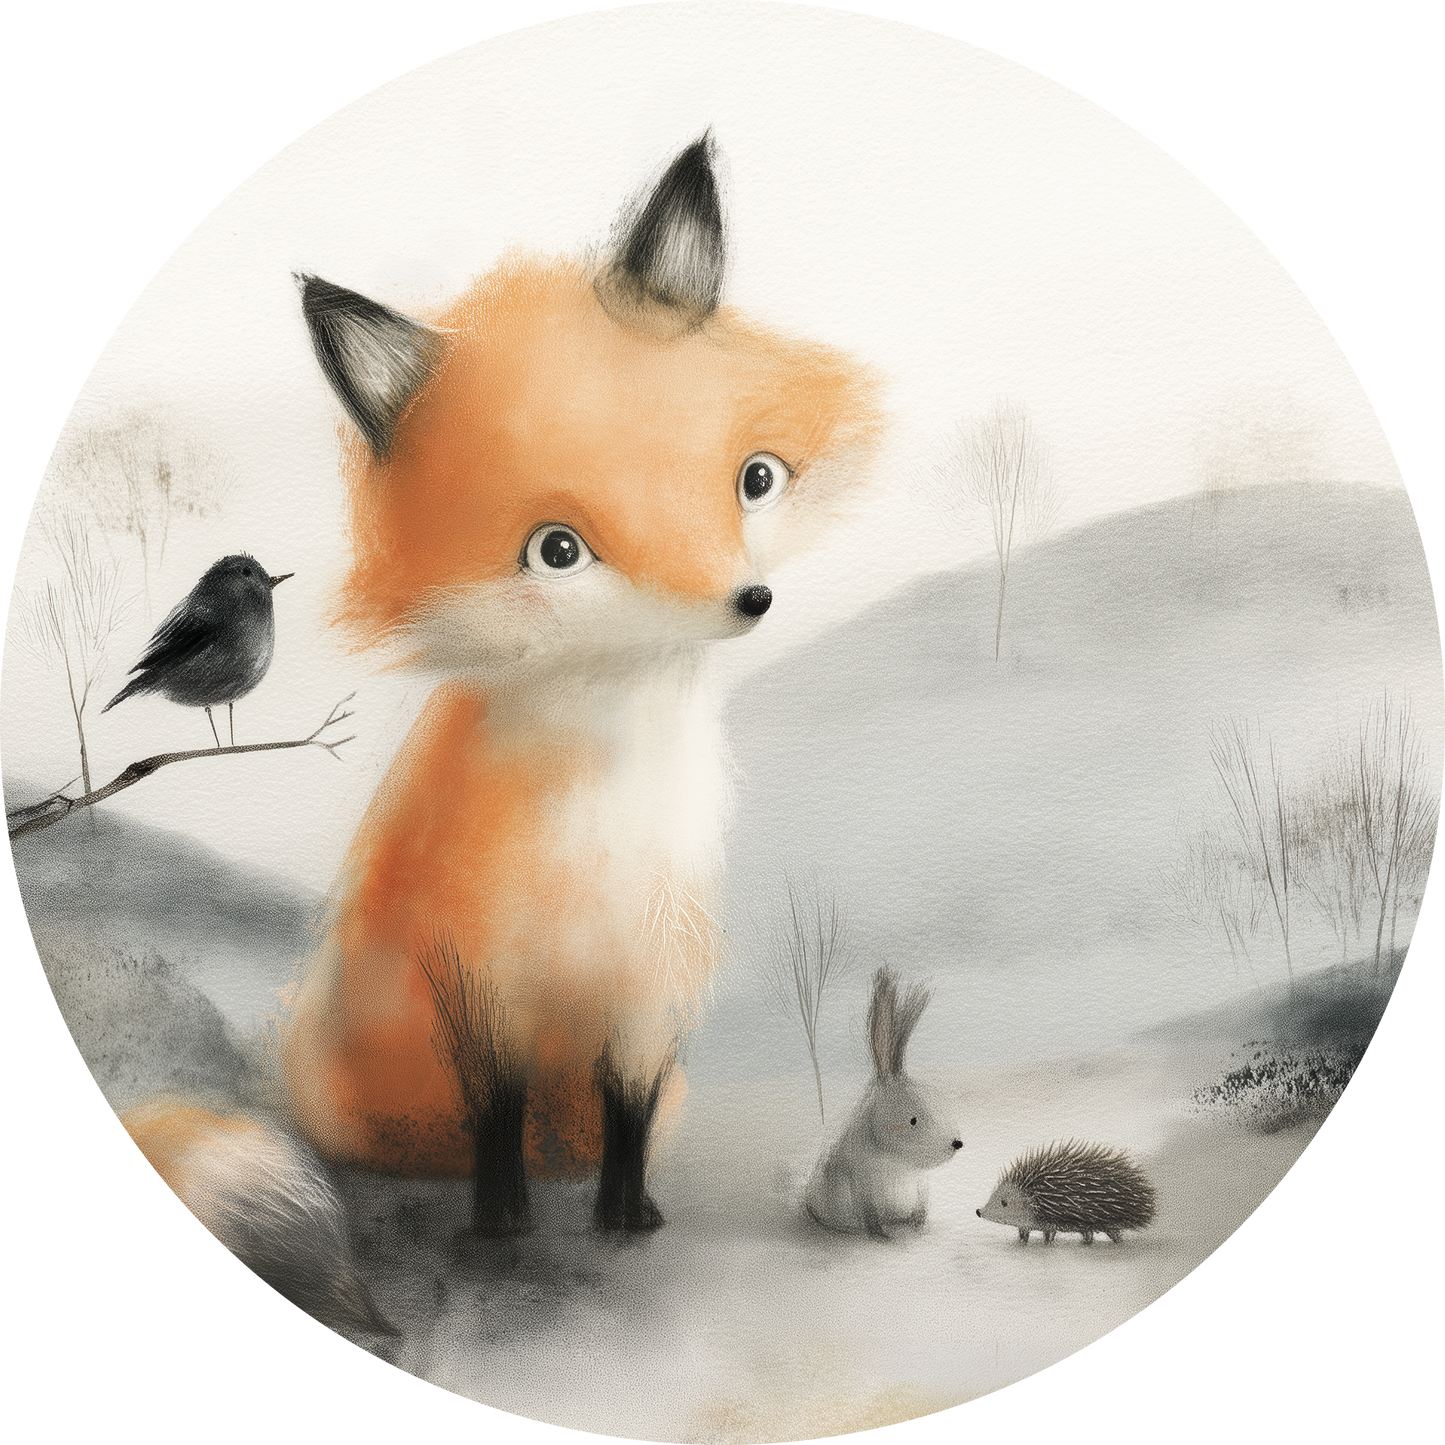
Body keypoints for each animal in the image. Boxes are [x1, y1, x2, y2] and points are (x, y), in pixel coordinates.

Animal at [117, 136, 884, 1321]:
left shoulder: (648, 984)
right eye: (556, 551)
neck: (597, 831)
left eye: (754, 479)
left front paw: (625, 1213)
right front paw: (502, 1221)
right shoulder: (480, 982)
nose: (746, 599)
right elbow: (496, 1111)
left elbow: (624, 1114)